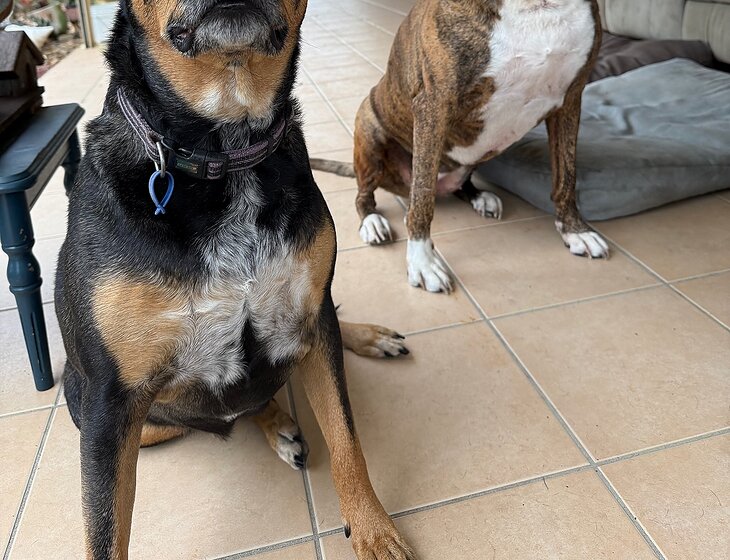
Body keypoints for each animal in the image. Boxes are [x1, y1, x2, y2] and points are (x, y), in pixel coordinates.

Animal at [55, 1, 416, 558]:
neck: (225, 154)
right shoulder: (108, 404)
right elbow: (105, 532)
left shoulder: (310, 316)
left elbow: (347, 440)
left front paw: (375, 531)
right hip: (104, 410)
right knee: (238, 408)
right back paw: (279, 423)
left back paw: (366, 342)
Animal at [311, 0, 609, 294]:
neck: (533, 6)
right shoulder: (433, 105)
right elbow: (422, 198)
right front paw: (422, 262)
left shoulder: (571, 100)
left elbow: (566, 177)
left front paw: (575, 230)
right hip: (369, 128)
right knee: (364, 195)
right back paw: (372, 222)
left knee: (459, 183)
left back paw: (479, 196)